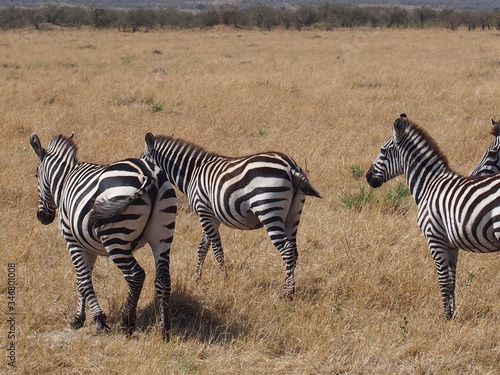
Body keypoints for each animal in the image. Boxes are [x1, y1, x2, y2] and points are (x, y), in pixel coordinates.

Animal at [29, 134, 177, 340]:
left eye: (36, 175)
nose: (43, 218)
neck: (64, 181)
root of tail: (148, 173)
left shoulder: (72, 241)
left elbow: (83, 280)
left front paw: (98, 321)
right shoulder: (86, 246)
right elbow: (81, 280)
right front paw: (79, 318)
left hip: (116, 238)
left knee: (135, 275)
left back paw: (127, 323)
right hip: (162, 235)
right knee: (163, 279)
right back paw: (165, 329)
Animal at [142, 134, 320, 298]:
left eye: (142, 165)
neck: (192, 173)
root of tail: (290, 165)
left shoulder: (203, 211)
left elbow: (216, 249)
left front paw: (224, 279)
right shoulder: (212, 216)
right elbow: (202, 248)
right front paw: (197, 279)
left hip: (268, 209)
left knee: (287, 249)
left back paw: (287, 293)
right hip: (293, 214)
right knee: (294, 250)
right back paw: (290, 286)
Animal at [368, 113, 500, 318]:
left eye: (382, 151)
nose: (367, 177)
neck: (428, 185)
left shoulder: (434, 238)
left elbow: (443, 280)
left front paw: (445, 317)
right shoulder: (451, 244)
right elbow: (452, 281)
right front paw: (452, 315)